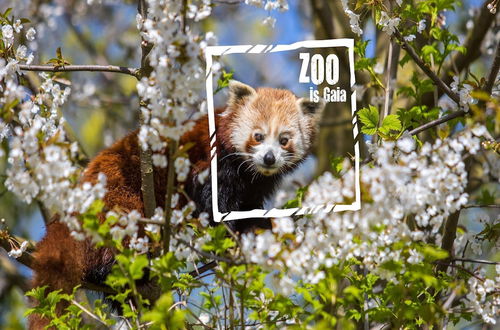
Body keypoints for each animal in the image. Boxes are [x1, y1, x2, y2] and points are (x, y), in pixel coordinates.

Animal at [28, 81, 324, 328]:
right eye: (258, 136)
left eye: (284, 139)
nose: (269, 158)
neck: (250, 174)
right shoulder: (210, 165)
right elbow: (213, 208)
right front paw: (238, 233)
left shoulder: (256, 186)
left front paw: (261, 226)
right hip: (119, 200)